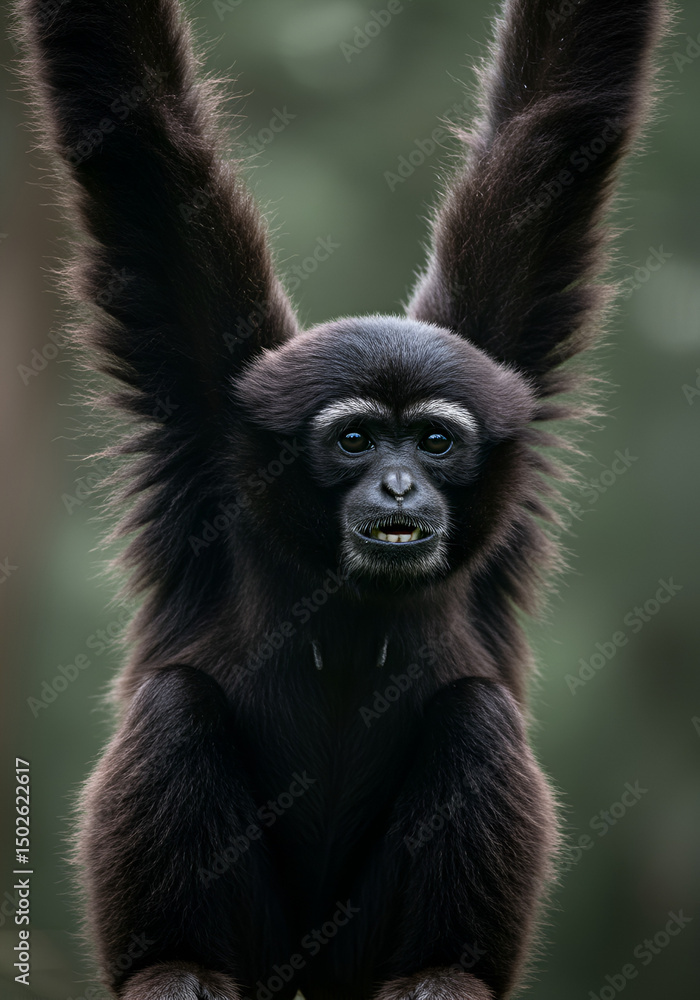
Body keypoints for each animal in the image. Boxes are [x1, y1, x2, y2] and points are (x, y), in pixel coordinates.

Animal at [15, 0, 669, 998]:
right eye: (356, 440)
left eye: (433, 441)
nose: (398, 483)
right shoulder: (211, 414)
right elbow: (135, 131)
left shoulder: (503, 367)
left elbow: (558, 120)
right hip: (270, 942)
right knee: (173, 706)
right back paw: (177, 962)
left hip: (357, 946)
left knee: (477, 719)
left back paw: (442, 972)